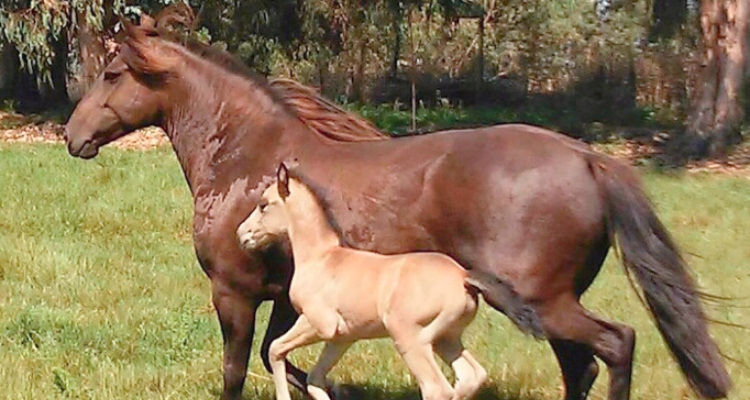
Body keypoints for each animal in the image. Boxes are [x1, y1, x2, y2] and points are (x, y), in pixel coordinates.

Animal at [238, 163, 544, 400]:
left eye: (263, 205)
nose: (242, 234)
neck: (321, 259)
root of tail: (463, 276)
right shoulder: (343, 337)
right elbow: (315, 380)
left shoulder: (318, 323)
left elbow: (275, 350)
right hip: (447, 338)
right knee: (471, 376)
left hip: (409, 336)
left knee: (437, 388)